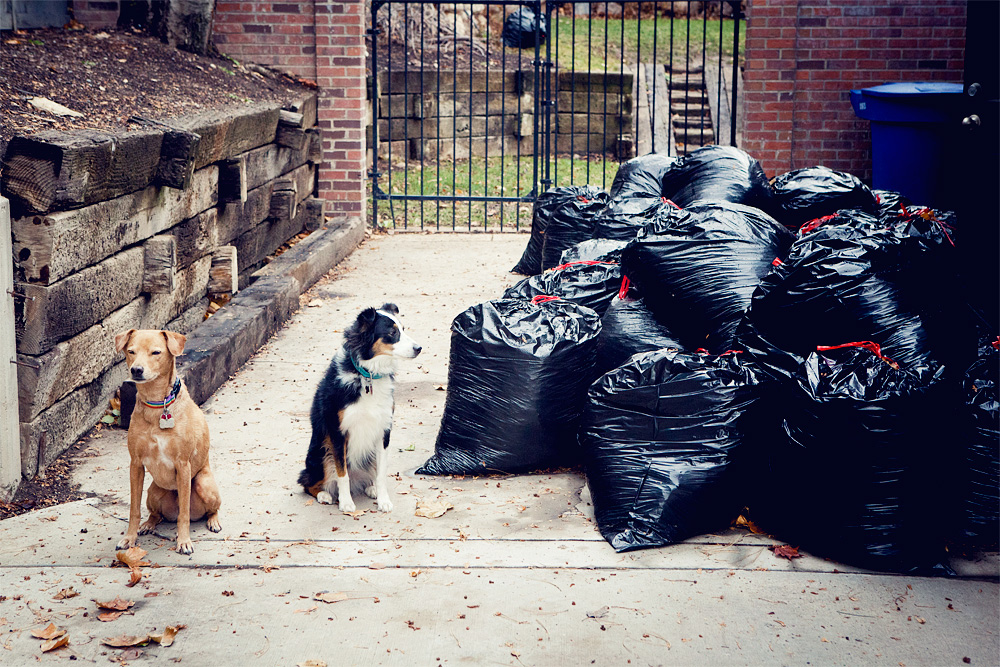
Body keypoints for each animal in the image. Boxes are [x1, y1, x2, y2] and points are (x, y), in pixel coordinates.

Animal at [114, 328, 222, 552]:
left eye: (156, 352)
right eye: (131, 351)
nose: (136, 370)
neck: (157, 404)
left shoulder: (183, 464)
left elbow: (184, 514)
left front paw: (184, 541)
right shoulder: (136, 465)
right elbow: (134, 510)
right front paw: (130, 538)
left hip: (203, 484)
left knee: (210, 509)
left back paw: (213, 521)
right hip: (154, 491)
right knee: (156, 515)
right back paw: (148, 525)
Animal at [296, 306, 422, 516]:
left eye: (403, 329)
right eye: (392, 332)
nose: (419, 348)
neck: (368, 375)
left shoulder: (383, 429)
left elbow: (381, 473)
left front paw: (383, 500)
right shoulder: (338, 431)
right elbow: (342, 472)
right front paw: (346, 503)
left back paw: (370, 488)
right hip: (320, 453)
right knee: (307, 482)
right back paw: (324, 494)